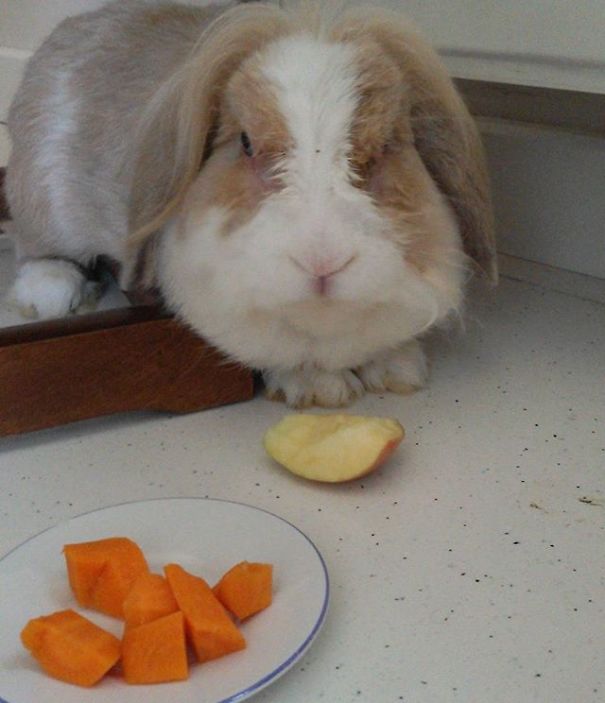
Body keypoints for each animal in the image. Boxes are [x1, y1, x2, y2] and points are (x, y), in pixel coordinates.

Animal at [5, 0, 496, 408]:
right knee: (35, 250)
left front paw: (399, 370)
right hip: (40, 204)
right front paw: (320, 390)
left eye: (390, 144)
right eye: (244, 142)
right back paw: (52, 294)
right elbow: (280, 351)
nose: (323, 261)